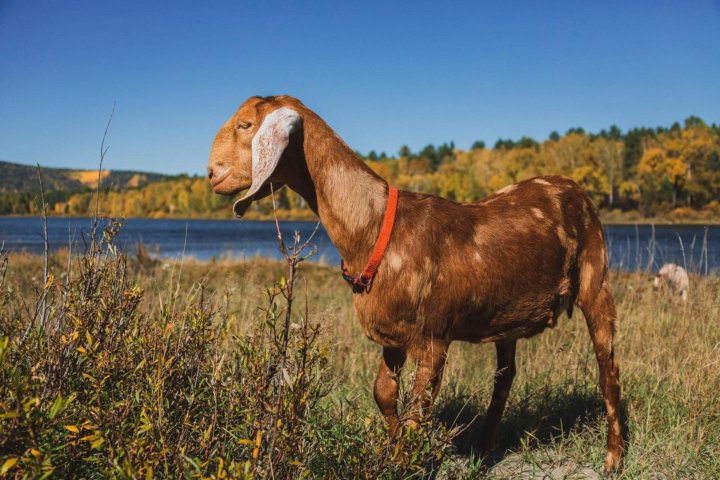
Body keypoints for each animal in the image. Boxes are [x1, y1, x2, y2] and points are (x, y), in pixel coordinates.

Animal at [208, 94, 624, 472]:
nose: (212, 173)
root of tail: (573, 186)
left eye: (246, 124)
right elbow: (384, 393)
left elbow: (416, 412)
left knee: (608, 371)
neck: (375, 228)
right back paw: (483, 452)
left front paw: (405, 461)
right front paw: (392, 454)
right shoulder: (393, 336)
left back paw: (612, 458)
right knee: (504, 378)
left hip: (597, 281)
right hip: (506, 316)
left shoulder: (432, 337)